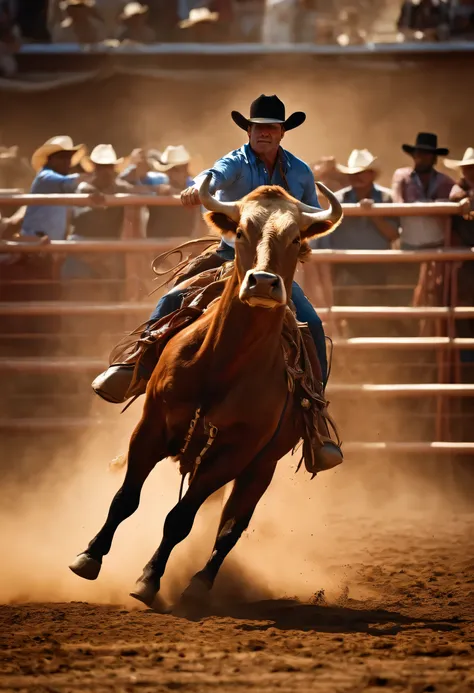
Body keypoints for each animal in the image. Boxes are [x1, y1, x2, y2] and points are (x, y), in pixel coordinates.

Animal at [68, 174, 340, 612]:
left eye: (297, 237)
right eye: (241, 230)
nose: (264, 282)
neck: (220, 366)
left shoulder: (232, 455)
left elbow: (181, 518)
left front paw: (148, 580)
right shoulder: (150, 428)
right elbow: (125, 498)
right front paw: (89, 557)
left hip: (261, 467)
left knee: (231, 526)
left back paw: (199, 583)